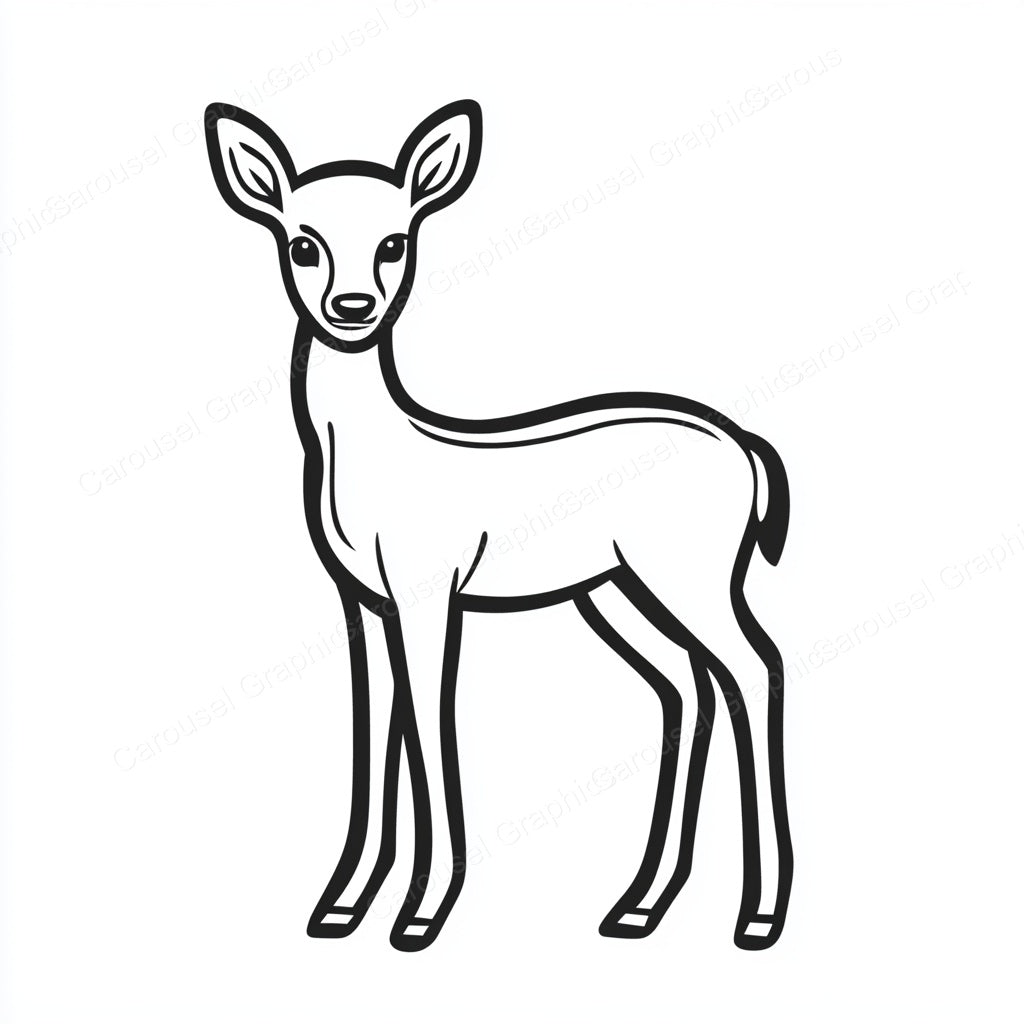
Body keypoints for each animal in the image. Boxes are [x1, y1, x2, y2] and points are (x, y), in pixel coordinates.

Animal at [205, 99, 794, 953]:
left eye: (396, 241)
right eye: (302, 243)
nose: (353, 309)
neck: (374, 452)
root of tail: (745, 447)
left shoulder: (429, 591)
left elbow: (429, 724)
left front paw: (419, 916)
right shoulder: (363, 601)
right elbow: (374, 730)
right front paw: (341, 908)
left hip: (692, 574)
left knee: (754, 667)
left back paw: (759, 915)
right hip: (614, 590)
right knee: (688, 686)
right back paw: (637, 908)